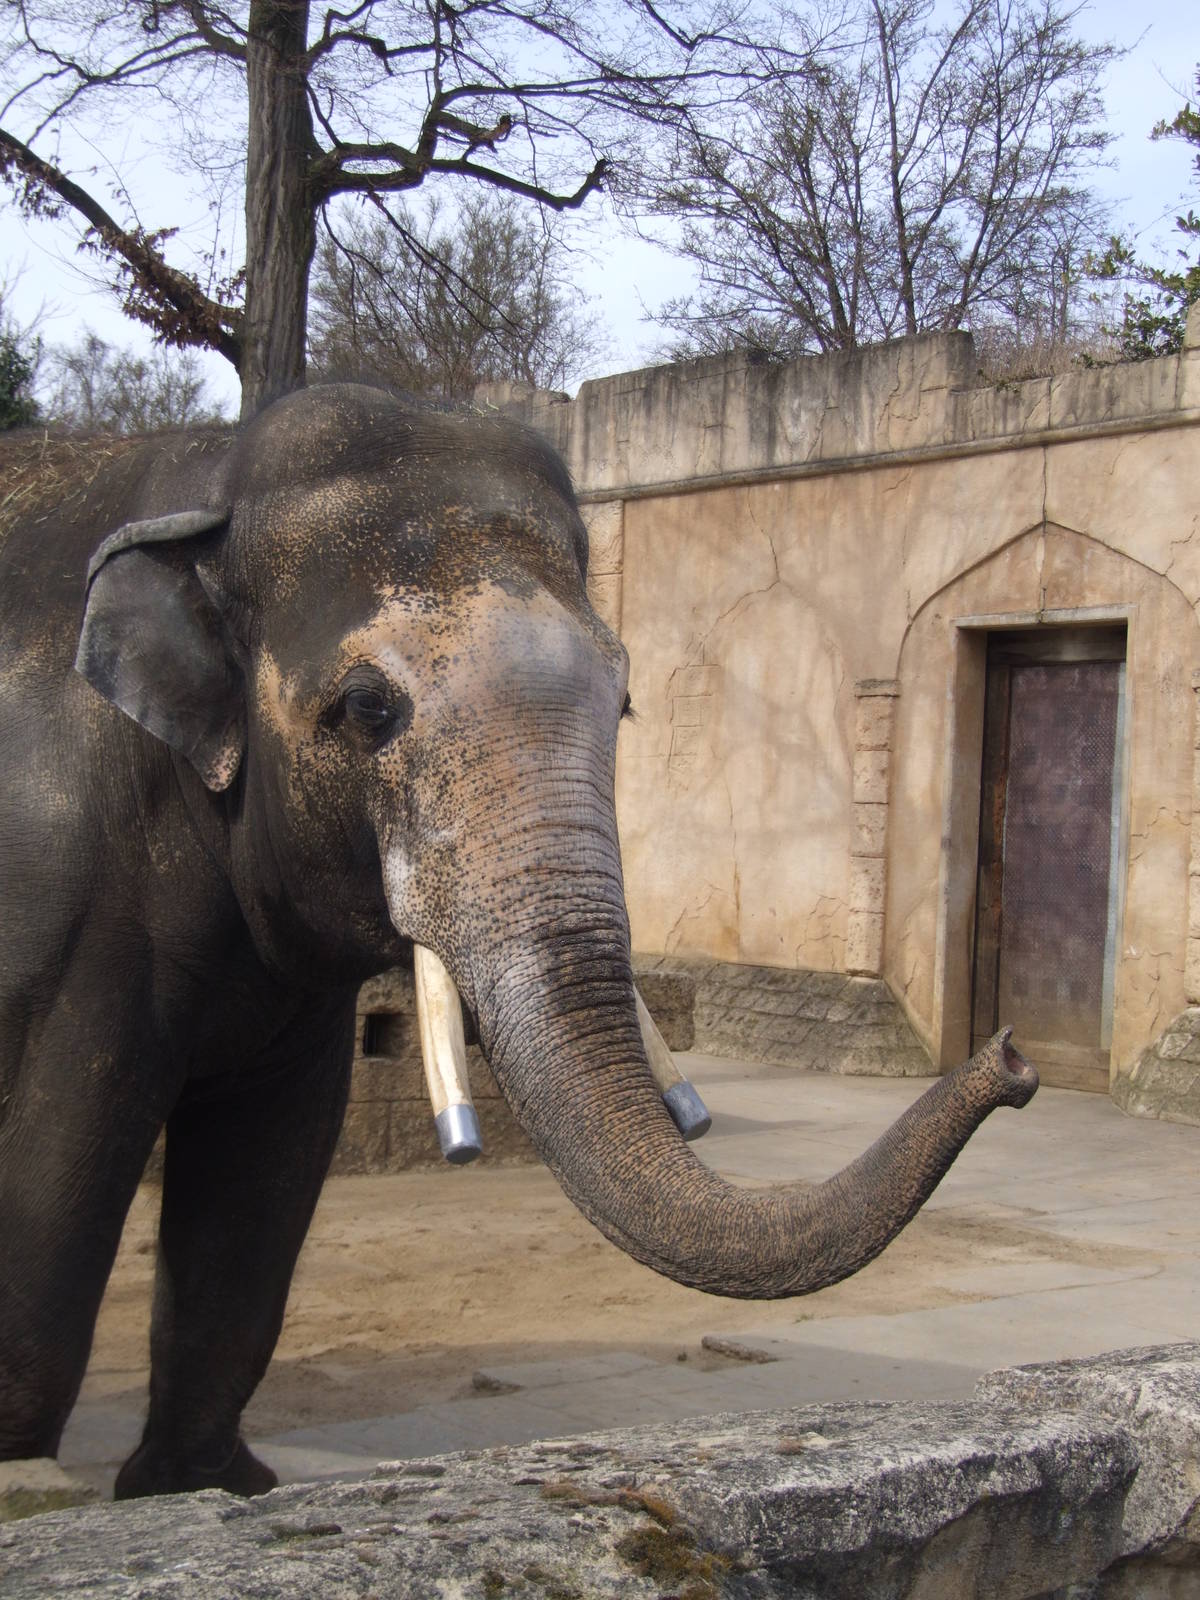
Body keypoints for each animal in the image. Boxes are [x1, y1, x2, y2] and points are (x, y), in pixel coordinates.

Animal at [0, 383, 1037, 1500]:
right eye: (366, 707)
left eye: (625, 703)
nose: (1014, 1059)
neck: (207, 481)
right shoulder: (62, 905)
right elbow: (53, 1164)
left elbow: (268, 1166)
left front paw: (203, 1490)